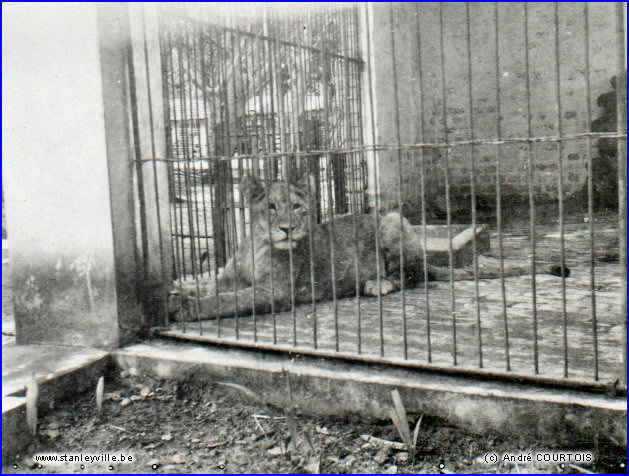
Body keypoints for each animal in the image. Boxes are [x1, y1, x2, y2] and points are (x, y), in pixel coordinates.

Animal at [168, 173, 568, 322]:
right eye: (270, 206)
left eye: (296, 206)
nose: (288, 228)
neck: (258, 244)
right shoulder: (228, 276)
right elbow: (210, 284)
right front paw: (177, 290)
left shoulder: (277, 291)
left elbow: (225, 301)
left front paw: (185, 308)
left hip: (392, 220)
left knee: (414, 277)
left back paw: (377, 284)